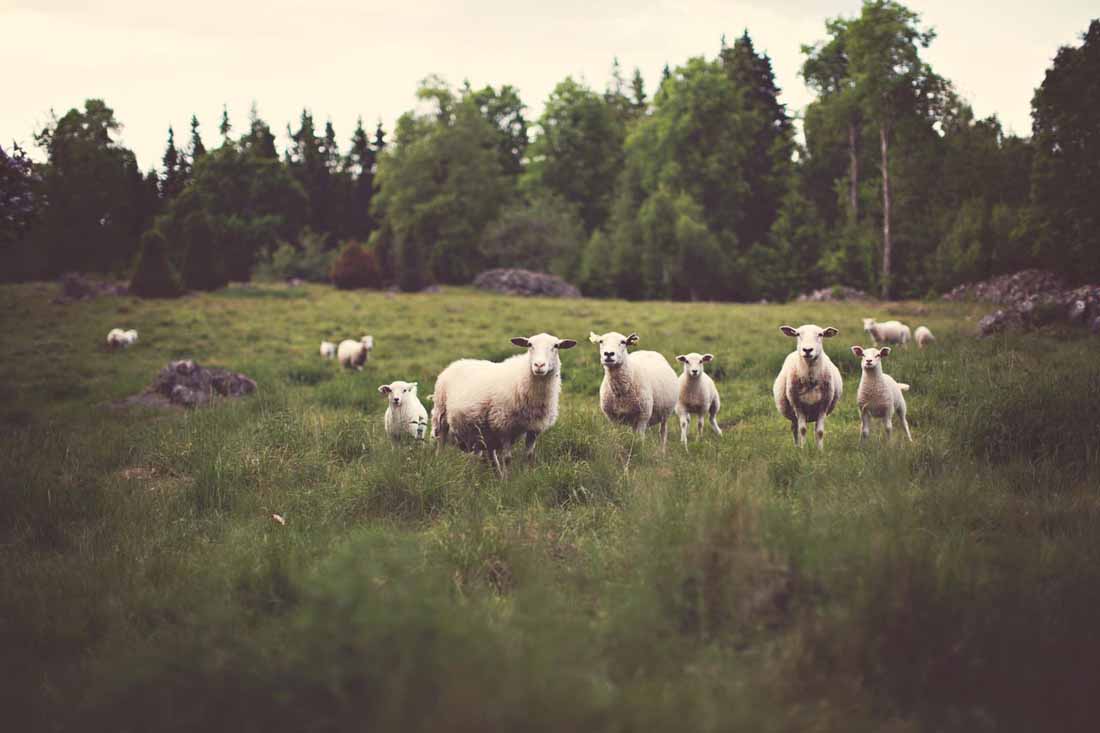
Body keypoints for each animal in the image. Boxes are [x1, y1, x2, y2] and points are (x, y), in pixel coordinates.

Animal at [431, 333, 577, 477]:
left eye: (556, 346)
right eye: (529, 344)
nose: (539, 365)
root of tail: (456, 363)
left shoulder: (534, 428)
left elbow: (529, 456)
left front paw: (527, 476)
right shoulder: (504, 426)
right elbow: (507, 458)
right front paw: (508, 480)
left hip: (484, 428)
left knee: (487, 451)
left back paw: (495, 474)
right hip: (441, 412)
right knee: (441, 441)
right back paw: (439, 462)